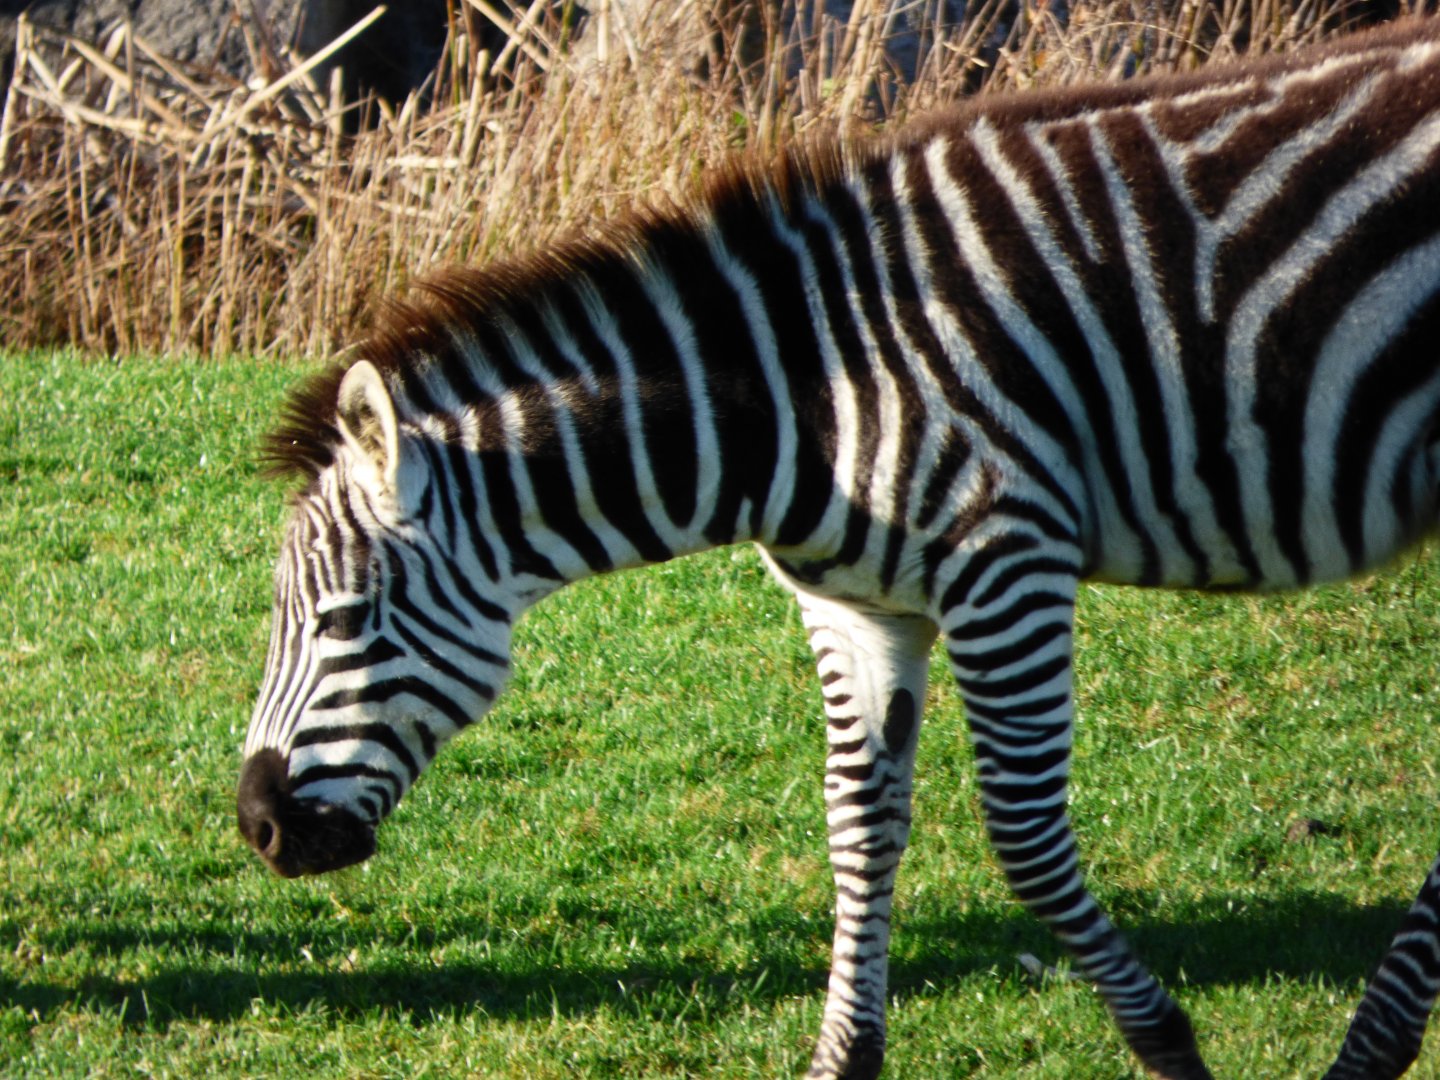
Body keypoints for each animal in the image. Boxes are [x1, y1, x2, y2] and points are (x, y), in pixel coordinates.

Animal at [238, 16, 1440, 1079]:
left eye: (342, 621)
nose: (256, 825)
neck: (802, 395)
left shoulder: (1007, 564)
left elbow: (1023, 838)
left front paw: (1168, 1045)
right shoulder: (858, 606)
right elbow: (859, 829)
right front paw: (843, 1057)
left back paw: (1371, 1045)